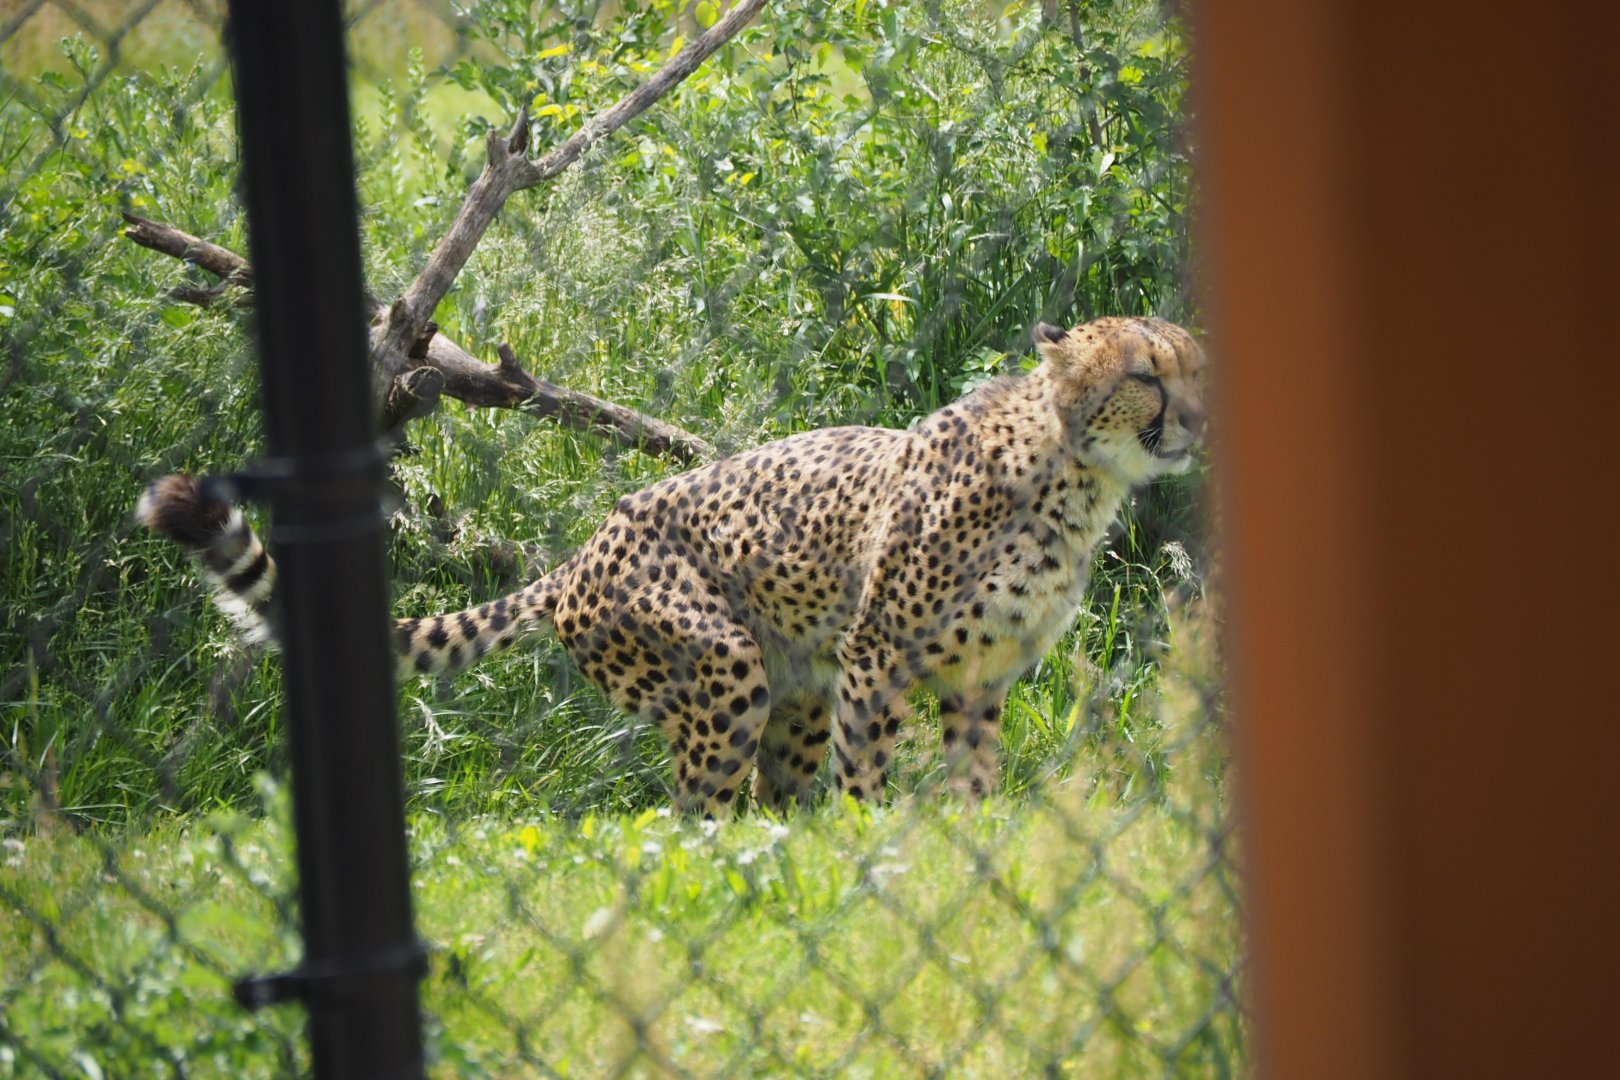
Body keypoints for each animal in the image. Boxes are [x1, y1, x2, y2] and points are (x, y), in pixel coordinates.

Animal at [138, 316, 1207, 816]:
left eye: (1193, 369)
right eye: (1145, 377)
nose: (1197, 419)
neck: (1075, 474)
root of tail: (582, 553)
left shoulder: (982, 673)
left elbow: (975, 776)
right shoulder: (878, 654)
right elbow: (870, 774)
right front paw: (878, 851)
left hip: (792, 688)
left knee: (765, 798)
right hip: (720, 664)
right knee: (694, 813)